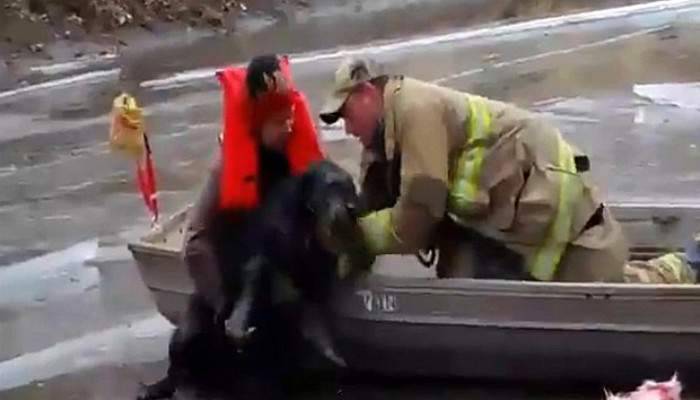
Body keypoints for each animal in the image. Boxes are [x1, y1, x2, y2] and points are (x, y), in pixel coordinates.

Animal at [139, 160, 364, 400]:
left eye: (350, 186)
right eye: (333, 185)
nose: (351, 207)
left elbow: (310, 294)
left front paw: (326, 348)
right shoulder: (277, 225)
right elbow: (259, 266)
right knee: (187, 340)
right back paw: (172, 385)